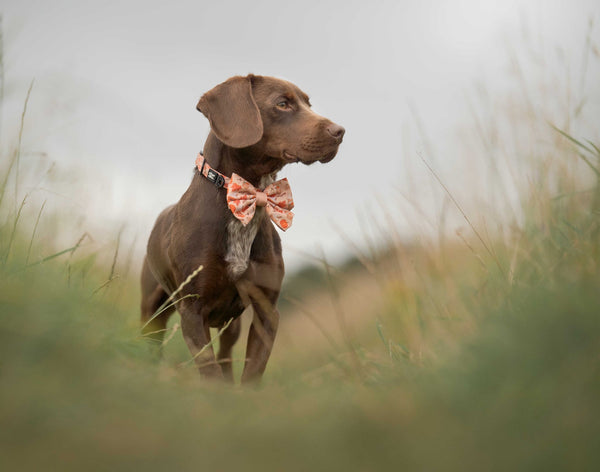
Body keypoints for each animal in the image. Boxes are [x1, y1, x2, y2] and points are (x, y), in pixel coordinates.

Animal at [141, 74, 344, 384]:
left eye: (309, 104)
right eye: (282, 104)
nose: (340, 131)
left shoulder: (266, 311)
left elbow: (250, 374)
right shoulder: (192, 311)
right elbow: (210, 373)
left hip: (229, 324)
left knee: (225, 355)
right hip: (152, 312)